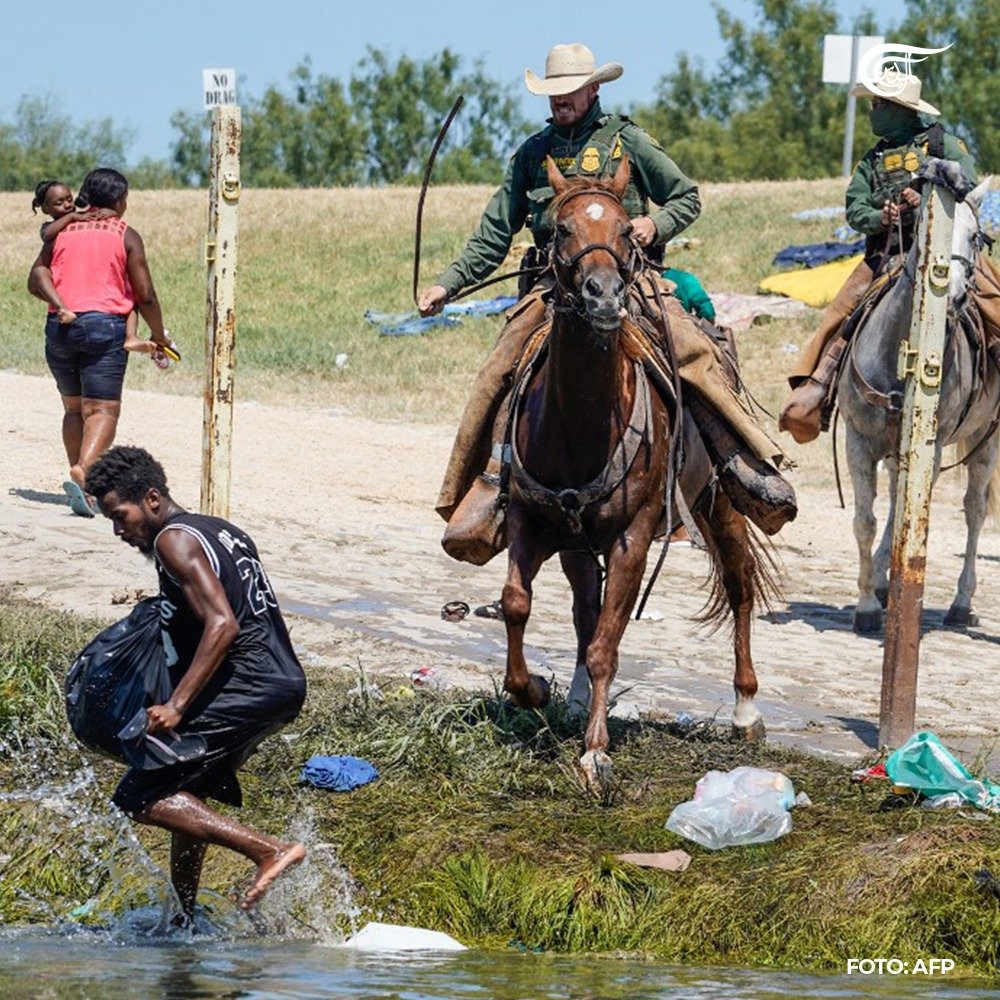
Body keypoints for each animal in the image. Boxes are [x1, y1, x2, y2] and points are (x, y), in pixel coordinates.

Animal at [499, 154, 775, 787]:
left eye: (627, 230)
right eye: (561, 229)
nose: (603, 297)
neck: (580, 423)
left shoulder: (634, 537)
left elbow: (608, 643)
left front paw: (595, 753)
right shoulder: (530, 519)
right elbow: (518, 604)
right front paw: (535, 689)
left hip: (718, 505)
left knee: (740, 585)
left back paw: (746, 708)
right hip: (578, 545)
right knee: (584, 609)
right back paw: (576, 696)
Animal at [838, 168, 1000, 633]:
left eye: (977, 237)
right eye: (931, 230)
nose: (957, 296)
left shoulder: (935, 443)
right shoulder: (858, 440)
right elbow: (866, 520)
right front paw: (867, 604)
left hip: (985, 441)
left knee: (974, 511)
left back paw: (961, 603)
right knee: (896, 500)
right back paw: (882, 580)